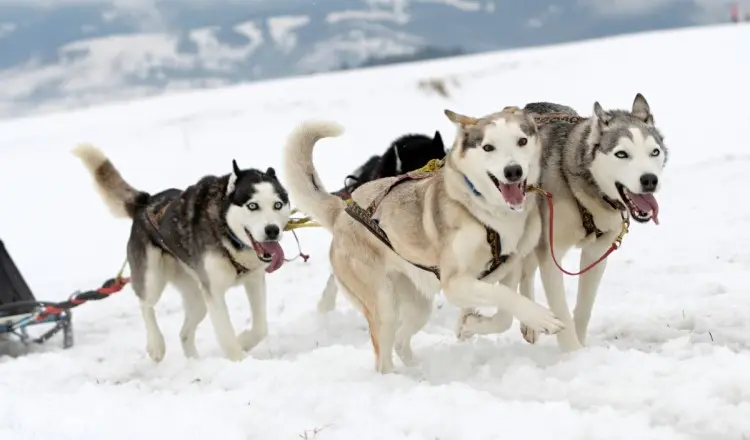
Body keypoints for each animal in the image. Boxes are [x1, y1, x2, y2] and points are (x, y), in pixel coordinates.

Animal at [72, 144, 290, 360]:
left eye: (277, 205)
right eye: (252, 206)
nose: (272, 230)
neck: (227, 235)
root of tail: (145, 203)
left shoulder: (254, 280)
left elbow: (260, 328)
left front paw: (244, 340)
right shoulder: (214, 292)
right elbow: (227, 337)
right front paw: (239, 358)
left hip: (197, 297)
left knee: (184, 333)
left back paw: (194, 362)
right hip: (153, 279)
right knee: (145, 304)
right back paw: (156, 345)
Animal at [456, 93, 668, 350]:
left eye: (654, 152)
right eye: (621, 154)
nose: (649, 180)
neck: (583, 192)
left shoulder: (596, 254)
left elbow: (583, 309)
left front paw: (580, 347)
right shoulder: (551, 255)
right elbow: (562, 313)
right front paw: (573, 354)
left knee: (525, 274)